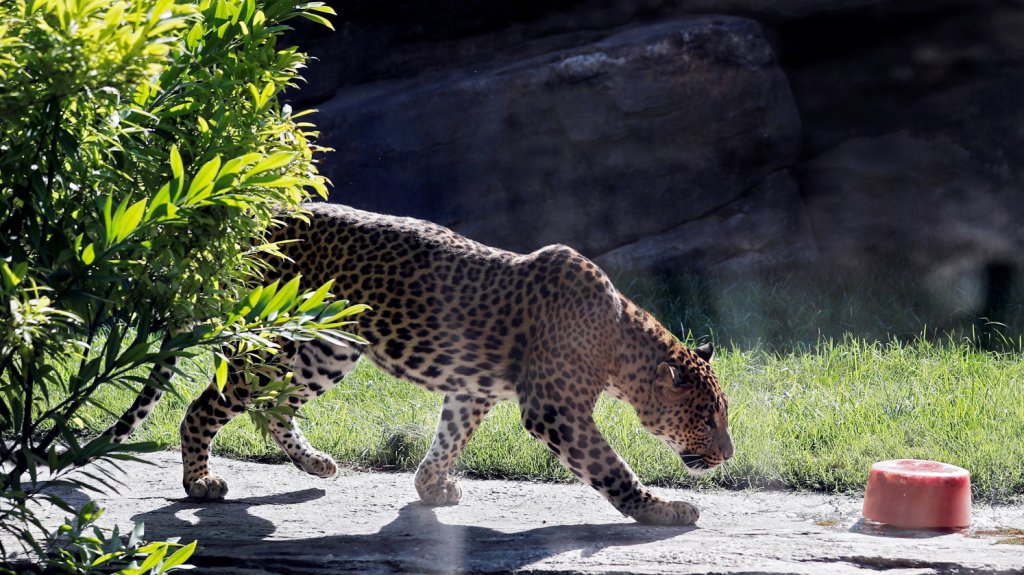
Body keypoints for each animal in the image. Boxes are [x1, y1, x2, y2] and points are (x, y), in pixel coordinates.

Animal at [103, 203, 733, 526]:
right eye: (707, 418)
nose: (728, 455)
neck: (620, 342)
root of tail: (258, 221)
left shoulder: (473, 391)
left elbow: (448, 438)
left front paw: (431, 488)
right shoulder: (555, 409)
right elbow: (610, 467)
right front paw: (662, 509)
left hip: (326, 351)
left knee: (276, 407)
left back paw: (315, 466)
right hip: (275, 345)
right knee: (204, 406)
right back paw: (199, 482)